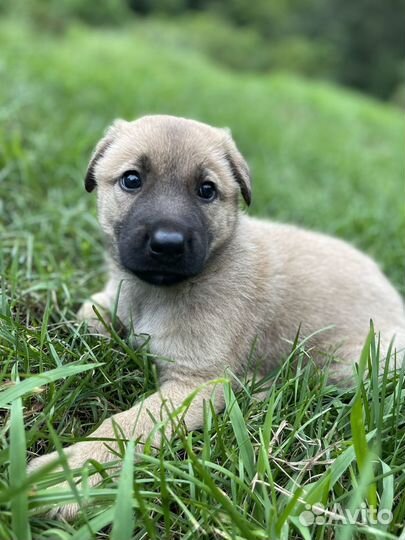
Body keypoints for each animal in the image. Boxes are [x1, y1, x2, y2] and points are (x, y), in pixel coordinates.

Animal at [29, 115, 404, 520]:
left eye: (206, 190)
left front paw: (69, 473)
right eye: (132, 179)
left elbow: (127, 425)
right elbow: (90, 311)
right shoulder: (114, 302)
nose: (168, 244)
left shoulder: (194, 384)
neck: (156, 293)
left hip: (359, 361)